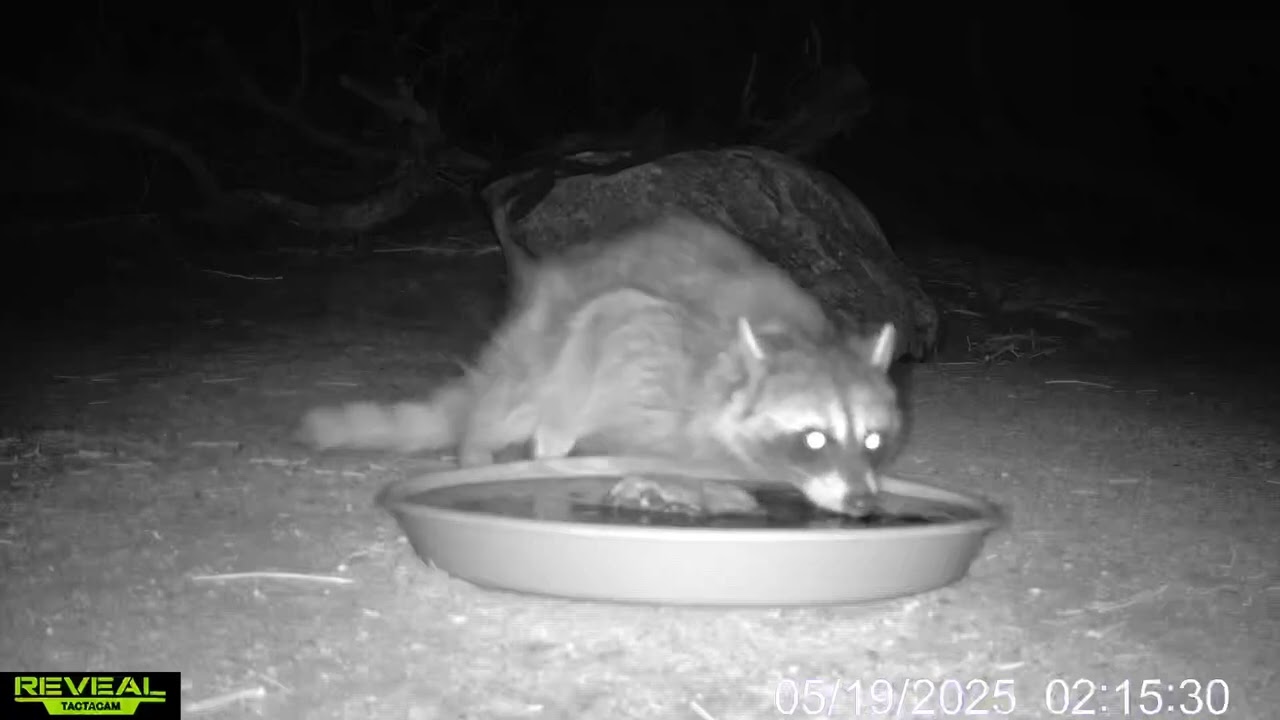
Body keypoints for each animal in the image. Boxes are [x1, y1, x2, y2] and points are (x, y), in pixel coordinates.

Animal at [299, 213, 903, 515]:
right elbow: (607, 326)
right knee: (525, 396)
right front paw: (551, 453)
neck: (800, 337)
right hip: (540, 345)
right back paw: (485, 443)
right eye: (815, 438)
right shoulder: (649, 336)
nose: (863, 502)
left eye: (873, 441)